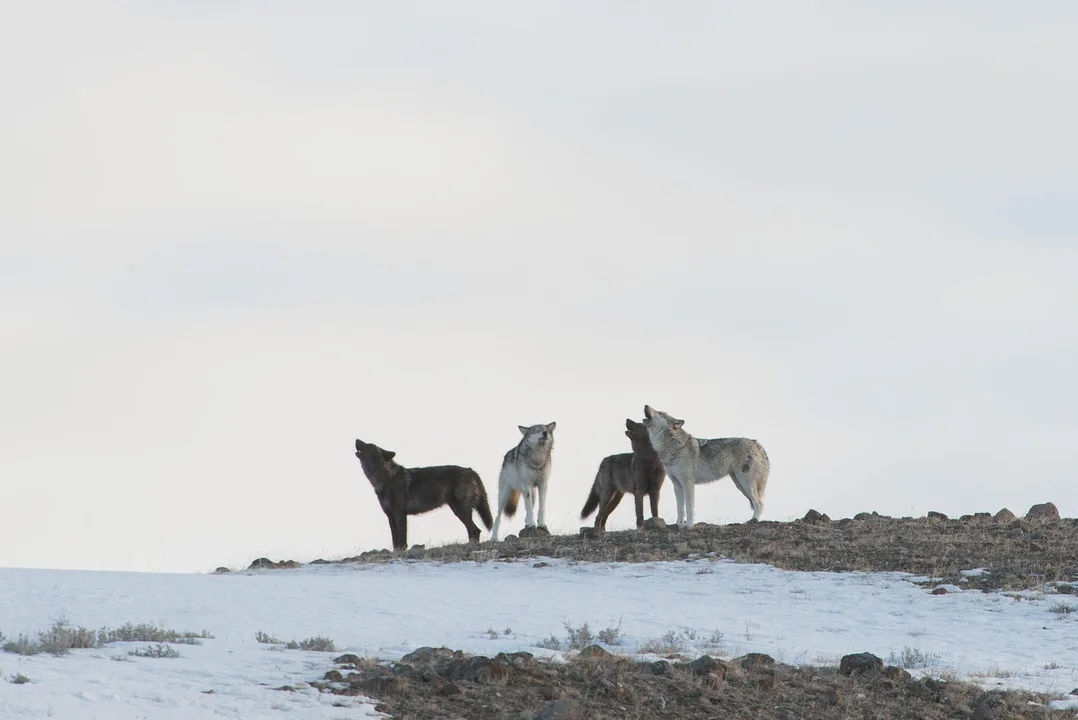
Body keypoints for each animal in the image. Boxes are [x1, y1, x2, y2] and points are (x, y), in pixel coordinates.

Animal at [354, 439, 493, 550]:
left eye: (368, 445)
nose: (357, 439)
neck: (387, 478)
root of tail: (471, 471)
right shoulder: (390, 516)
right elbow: (395, 542)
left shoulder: (400, 515)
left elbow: (402, 540)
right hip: (458, 510)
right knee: (475, 530)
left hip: (460, 511)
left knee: (474, 530)